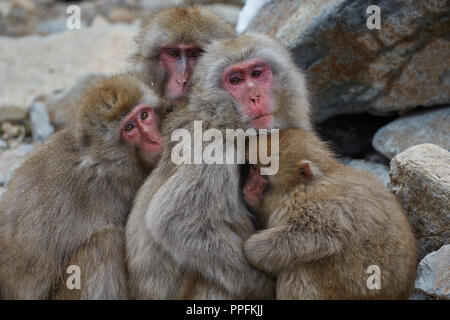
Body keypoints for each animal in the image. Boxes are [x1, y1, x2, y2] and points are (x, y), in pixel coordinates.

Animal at [0, 74, 165, 298]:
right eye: (129, 128)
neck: (102, 160)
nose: (154, 139)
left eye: (145, 115)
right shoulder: (117, 189)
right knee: (105, 244)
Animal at [125, 33, 312, 300]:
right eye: (235, 80)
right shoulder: (214, 151)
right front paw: (264, 286)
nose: (255, 97)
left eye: (257, 73)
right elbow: (173, 222)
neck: (224, 122)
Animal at [243, 128, 418, 300]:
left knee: (299, 269)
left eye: (263, 176)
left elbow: (321, 234)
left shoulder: (316, 205)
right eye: (253, 168)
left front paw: (252, 249)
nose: (249, 187)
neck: (299, 186)